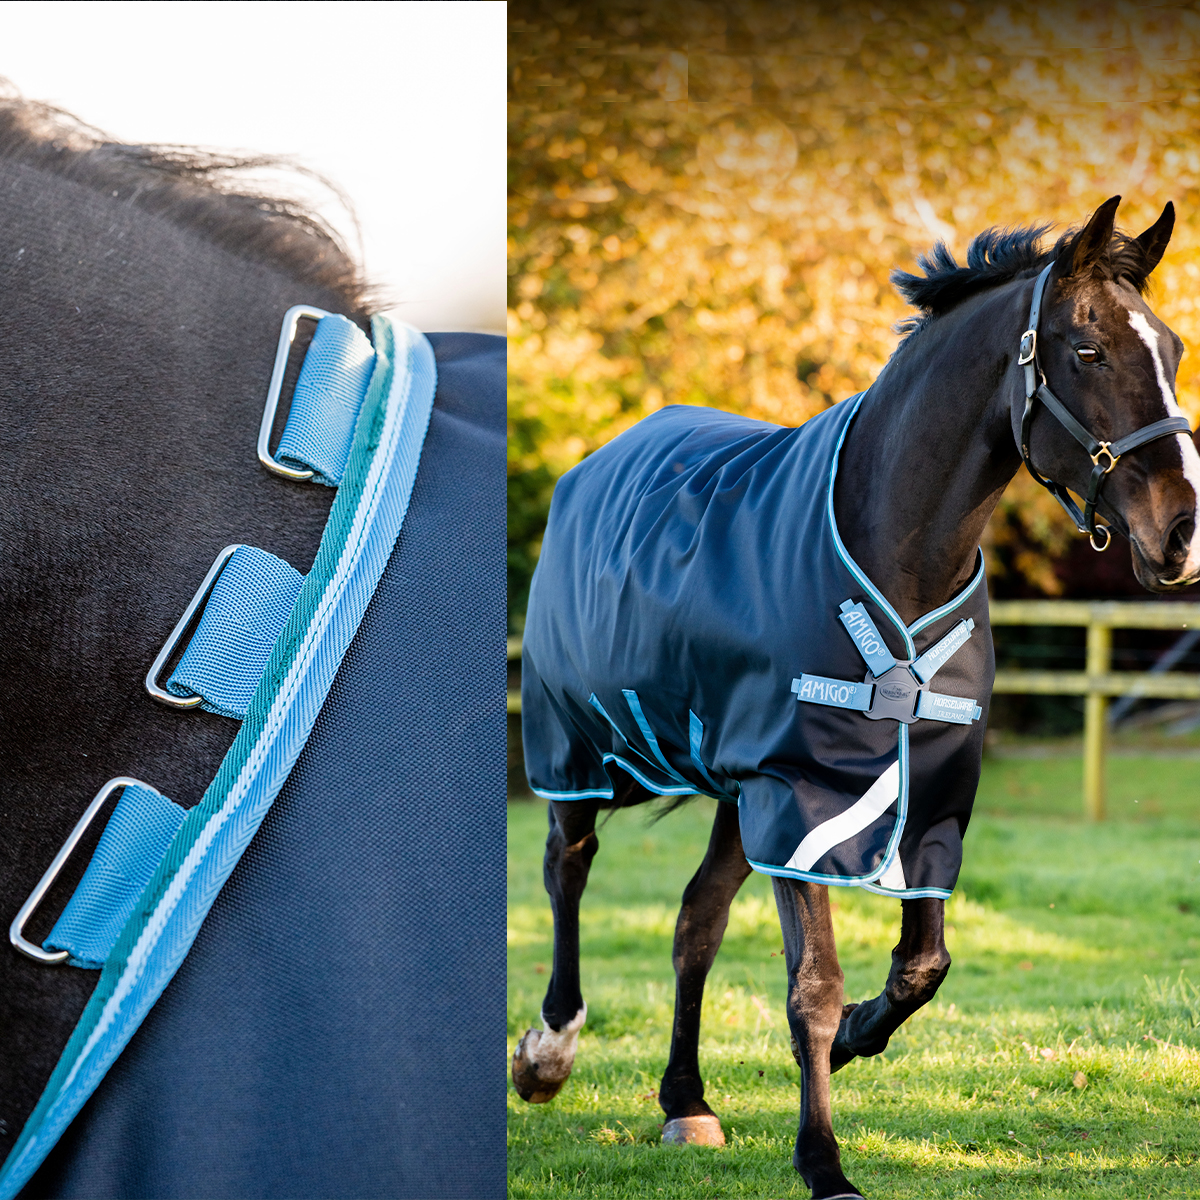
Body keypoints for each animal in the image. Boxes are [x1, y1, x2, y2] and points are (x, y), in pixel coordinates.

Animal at [513, 196, 1199, 1199]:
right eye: (1088, 350)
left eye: (1175, 349)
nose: (1182, 534)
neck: (895, 552)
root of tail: (599, 462)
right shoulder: (802, 799)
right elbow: (815, 988)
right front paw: (825, 1163)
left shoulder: (926, 799)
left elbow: (922, 965)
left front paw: (848, 1051)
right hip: (583, 750)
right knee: (569, 865)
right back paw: (549, 1053)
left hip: (733, 792)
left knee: (694, 923)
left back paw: (687, 1101)